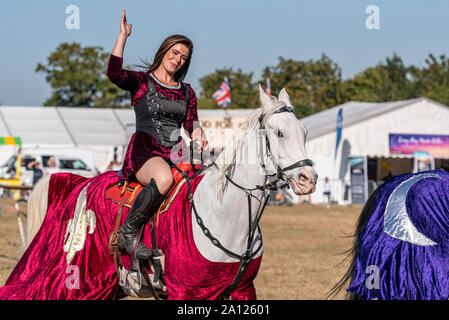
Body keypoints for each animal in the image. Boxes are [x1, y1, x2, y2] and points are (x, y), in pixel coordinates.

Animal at [19, 85, 316, 300]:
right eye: (279, 133)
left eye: (304, 131)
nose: (308, 179)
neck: (225, 216)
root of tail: (81, 182)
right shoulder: (189, 292)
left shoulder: (243, 290)